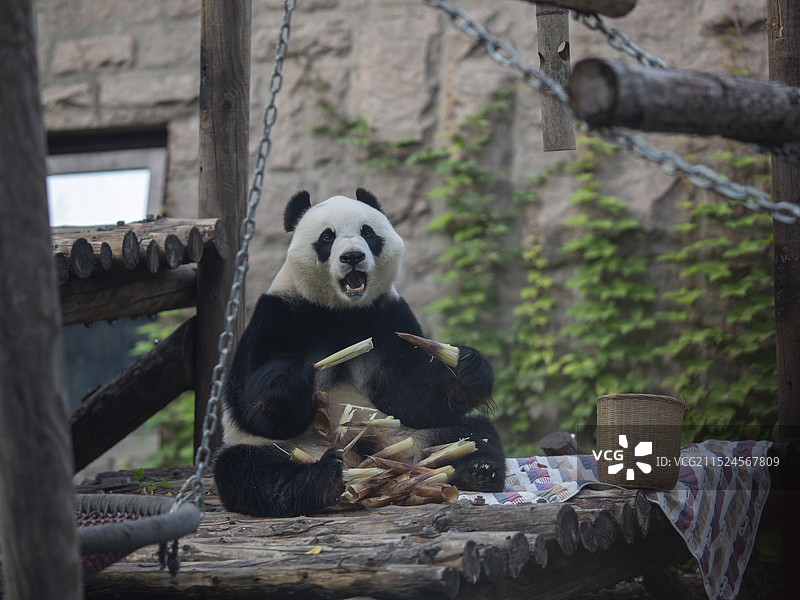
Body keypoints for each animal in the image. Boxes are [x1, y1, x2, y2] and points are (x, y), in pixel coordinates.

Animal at [213, 188, 506, 518]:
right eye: (327, 236)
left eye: (367, 232)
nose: (352, 256)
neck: (341, 310)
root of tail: (370, 458)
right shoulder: (280, 314)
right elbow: (253, 408)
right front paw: (292, 377)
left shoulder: (386, 317)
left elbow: (409, 395)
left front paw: (465, 369)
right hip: (285, 448)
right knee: (250, 471)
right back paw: (323, 478)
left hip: (412, 436)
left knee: (472, 432)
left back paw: (477, 469)